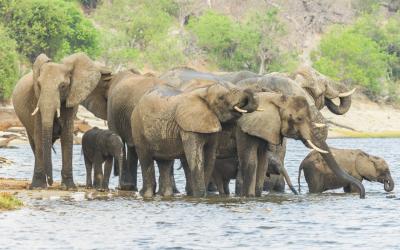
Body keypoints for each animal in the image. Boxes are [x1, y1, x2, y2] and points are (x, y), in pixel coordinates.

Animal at [11, 53, 111, 189]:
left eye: (62, 86)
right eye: (39, 85)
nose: (51, 182)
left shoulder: (72, 95)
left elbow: (67, 134)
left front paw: (68, 187)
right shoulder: (36, 97)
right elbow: (39, 134)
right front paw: (38, 186)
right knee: (34, 143)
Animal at [130, 80, 258, 197]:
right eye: (221, 98)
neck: (205, 91)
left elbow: (210, 158)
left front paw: (197, 194)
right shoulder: (189, 127)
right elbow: (196, 158)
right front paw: (200, 196)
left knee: (165, 163)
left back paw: (165, 194)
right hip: (138, 128)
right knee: (145, 159)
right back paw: (145, 194)